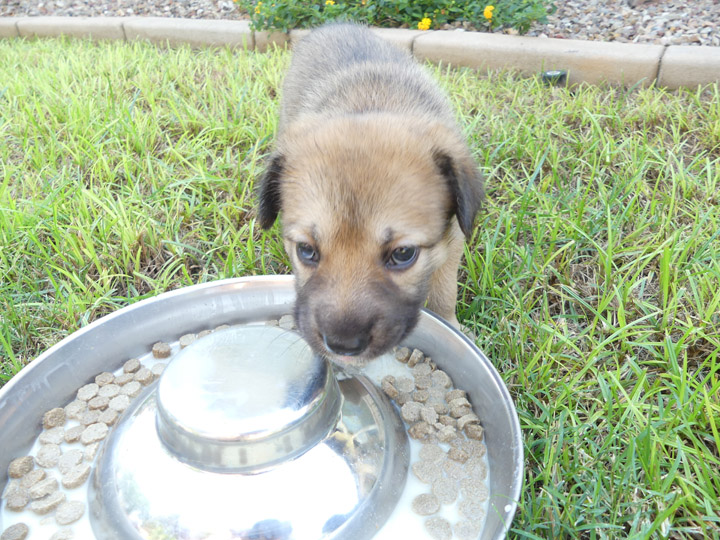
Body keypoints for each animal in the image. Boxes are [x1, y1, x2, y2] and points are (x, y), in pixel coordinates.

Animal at [258, 22, 484, 368]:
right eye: (306, 251)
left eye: (403, 254)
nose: (342, 345)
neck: (370, 103)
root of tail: (334, 25)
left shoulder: (454, 240)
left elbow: (444, 292)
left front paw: (452, 325)